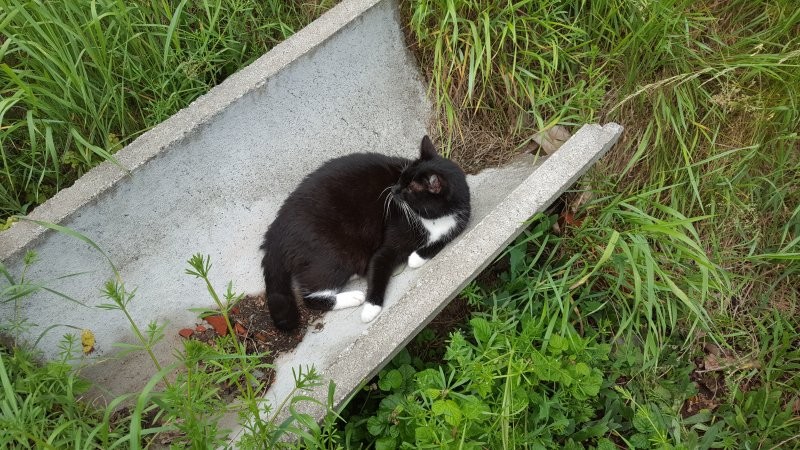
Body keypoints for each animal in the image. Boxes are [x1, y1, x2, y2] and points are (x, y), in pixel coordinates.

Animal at [260, 135, 472, 328]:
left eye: (409, 189)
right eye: (401, 177)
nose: (392, 189)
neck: (432, 220)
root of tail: (276, 230)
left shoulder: (460, 222)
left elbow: (441, 241)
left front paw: (416, 257)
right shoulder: (387, 246)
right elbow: (378, 266)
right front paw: (371, 309)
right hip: (334, 253)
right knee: (311, 298)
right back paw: (354, 296)